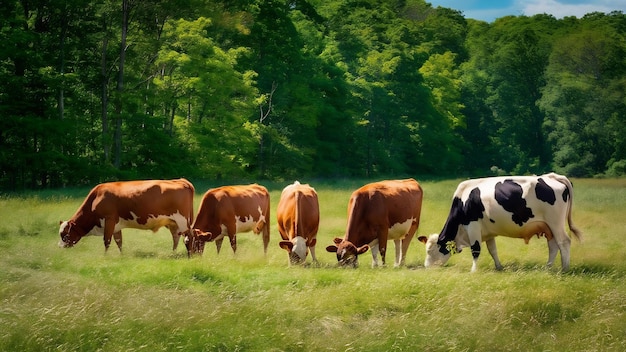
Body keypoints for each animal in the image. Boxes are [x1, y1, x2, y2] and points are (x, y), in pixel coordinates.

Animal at [59, 179, 195, 253]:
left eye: (64, 235)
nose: (59, 247)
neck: (96, 198)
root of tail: (180, 180)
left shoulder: (109, 219)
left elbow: (107, 241)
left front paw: (105, 257)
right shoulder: (116, 226)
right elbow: (119, 241)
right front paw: (121, 256)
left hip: (182, 220)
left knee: (189, 237)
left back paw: (190, 255)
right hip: (173, 222)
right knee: (176, 237)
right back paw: (173, 253)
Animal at [416, 173, 584, 272]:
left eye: (430, 251)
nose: (426, 267)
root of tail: (551, 176)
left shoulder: (473, 226)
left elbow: (476, 249)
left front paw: (473, 271)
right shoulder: (488, 231)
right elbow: (493, 250)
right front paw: (499, 267)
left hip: (555, 222)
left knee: (564, 242)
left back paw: (565, 268)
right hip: (548, 226)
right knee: (553, 245)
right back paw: (548, 267)